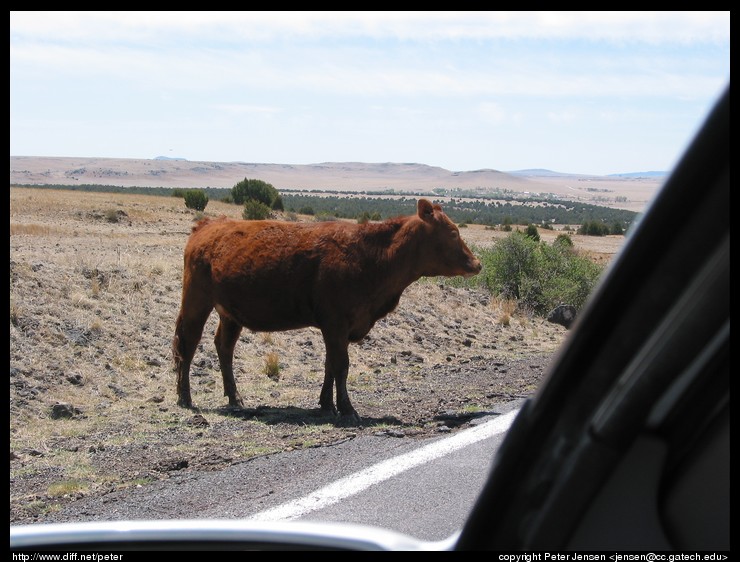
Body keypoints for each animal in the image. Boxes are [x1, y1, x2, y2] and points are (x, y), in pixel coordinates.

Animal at [174, 197, 486, 420]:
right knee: (187, 344)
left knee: (224, 347)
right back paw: (185, 398)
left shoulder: (338, 327)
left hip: (230, 313)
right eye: (453, 232)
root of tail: (208, 225)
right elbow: (341, 366)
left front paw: (326, 404)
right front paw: (347, 409)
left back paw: (235, 398)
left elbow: (330, 364)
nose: (478, 264)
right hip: (196, 300)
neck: (374, 258)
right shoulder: (336, 322)